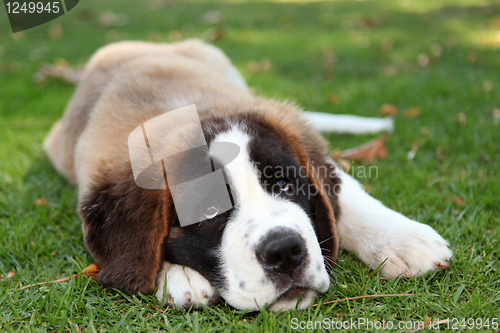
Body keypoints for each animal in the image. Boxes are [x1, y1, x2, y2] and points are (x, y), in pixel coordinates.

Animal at [44, 39, 454, 312]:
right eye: (209, 211)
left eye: (285, 185)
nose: (285, 251)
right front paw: (177, 275)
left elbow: (347, 197)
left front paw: (403, 239)